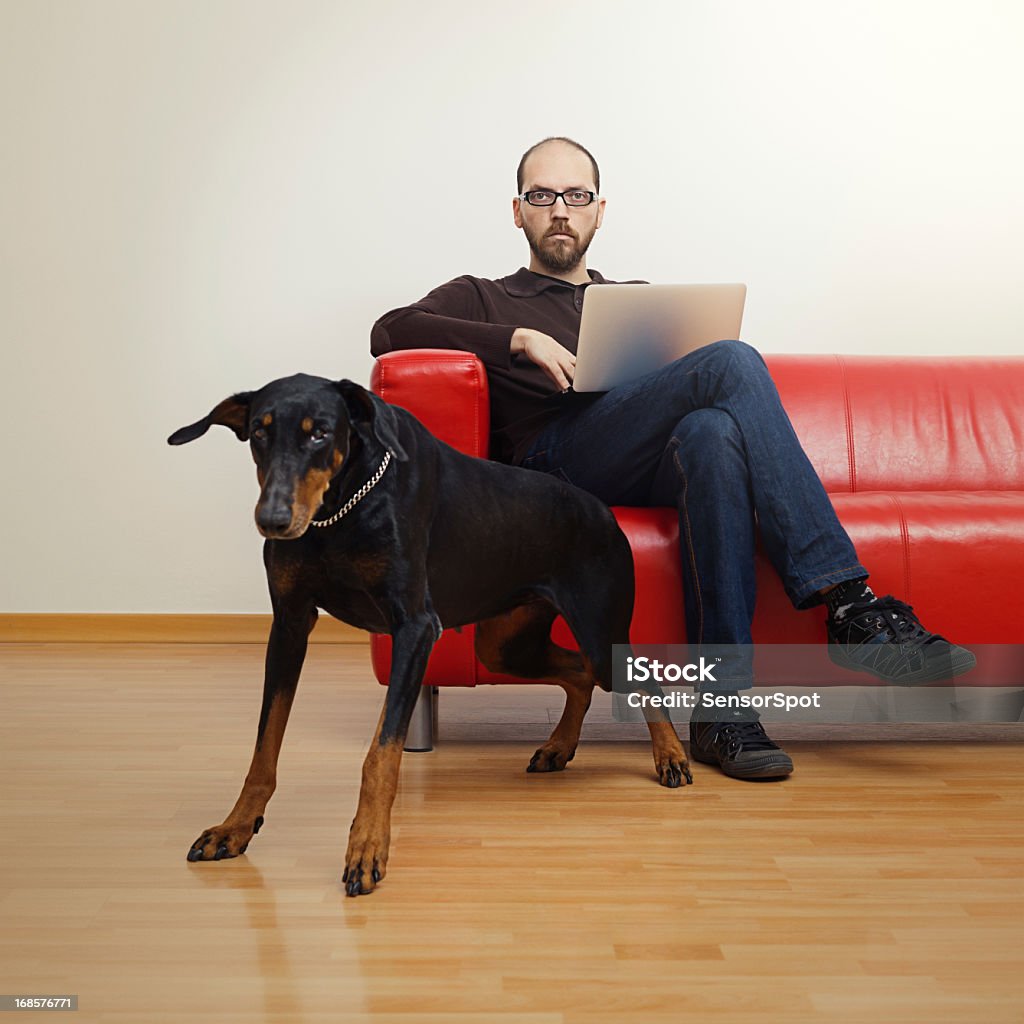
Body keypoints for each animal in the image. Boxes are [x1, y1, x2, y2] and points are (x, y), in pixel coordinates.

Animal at [169, 372, 688, 892]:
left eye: (320, 434)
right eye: (259, 433)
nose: (273, 521)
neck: (338, 512)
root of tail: (604, 511)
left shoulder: (415, 628)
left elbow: (381, 754)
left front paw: (367, 847)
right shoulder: (291, 625)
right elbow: (265, 745)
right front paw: (234, 827)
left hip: (599, 631)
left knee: (636, 677)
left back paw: (670, 757)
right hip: (505, 645)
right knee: (579, 674)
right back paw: (559, 746)